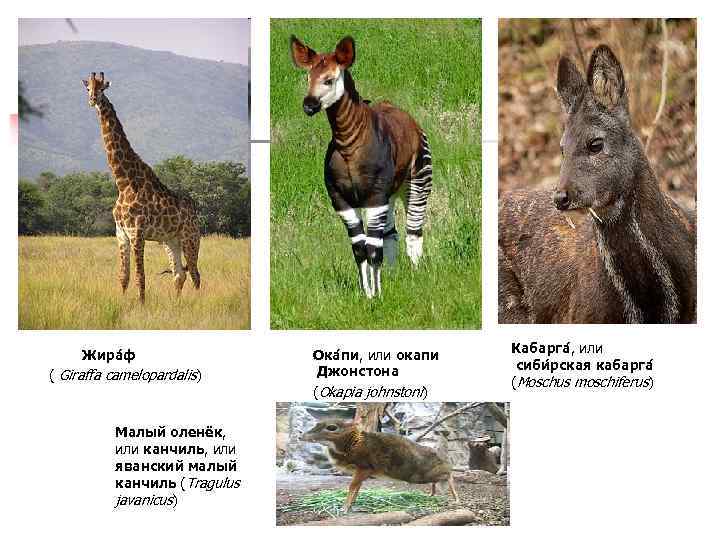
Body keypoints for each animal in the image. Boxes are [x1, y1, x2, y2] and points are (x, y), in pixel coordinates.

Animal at [83, 72, 201, 303]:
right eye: (88, 88)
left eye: (102, 88)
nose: (92, 100)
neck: (123, 182)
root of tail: (196, 215)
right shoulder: (121, 233)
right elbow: (124, 276)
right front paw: (122, 303)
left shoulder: (137, 232)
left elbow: (140, 276)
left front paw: (141, 305)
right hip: (170, 241)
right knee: (179, 274)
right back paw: (176, 303)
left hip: (190, 239)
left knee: (195, 274)